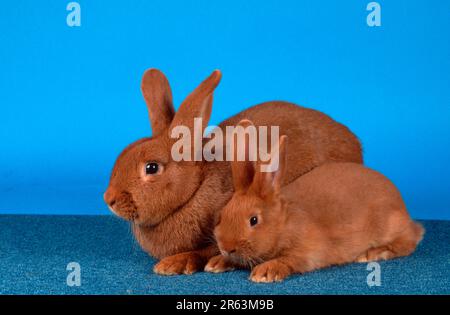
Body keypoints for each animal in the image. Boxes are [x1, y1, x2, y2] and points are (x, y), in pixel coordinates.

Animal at [104, 69, 362, 276]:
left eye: (151, 167)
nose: (109, 199)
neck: (196, 187)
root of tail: (353, 142)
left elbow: (210, 249)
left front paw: (174, 264)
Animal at [206, 121, 424, 284]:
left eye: (253, 220)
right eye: (222, 215)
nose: (226, 247)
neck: (283, 225)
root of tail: (401, 204)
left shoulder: (308, 252)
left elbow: (290, 260)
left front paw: (265, 272)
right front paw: (217, 263)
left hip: (391, 225)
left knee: (410, 240)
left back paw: (374, 253)